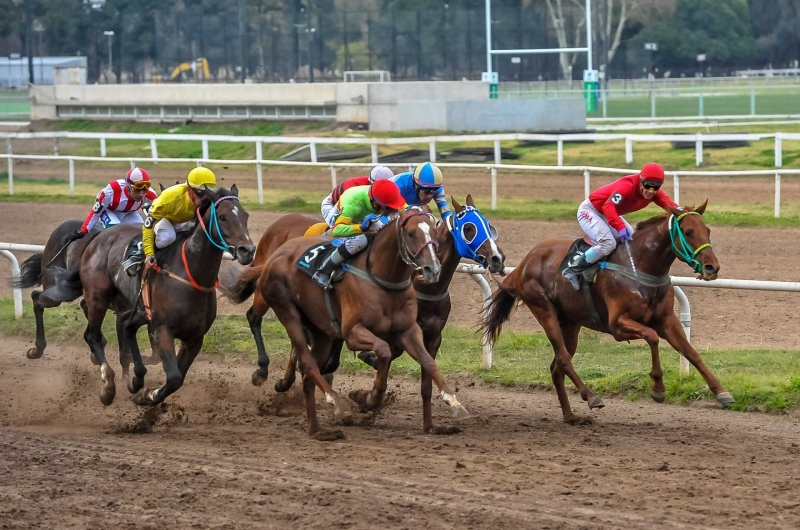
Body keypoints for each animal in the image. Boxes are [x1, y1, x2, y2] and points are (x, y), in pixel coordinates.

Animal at [42, 187, 255, 408]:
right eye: (222, 217)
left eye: (245, 215)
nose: (247, 250)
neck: (190, 275)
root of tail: (98, 237)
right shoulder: (162, 330)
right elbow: (174, 377)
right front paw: (148, 395)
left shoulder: (195, 338)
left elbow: (177, 379)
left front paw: (144, 393)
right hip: (97, 297)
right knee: (93, 335)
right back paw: (108, 385)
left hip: (133, 306)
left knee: (125, 325)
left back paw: (134, 378)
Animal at [220, 196, 506, 432]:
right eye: (469, 228)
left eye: (489, 225)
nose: (497, 259)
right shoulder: (361, 333)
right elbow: (383, 356)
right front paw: (365, 397)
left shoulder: (428, 336)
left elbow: (426, 371)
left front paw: (436, 420)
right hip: (273, 297)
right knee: (258, 320)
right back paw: (270, 375)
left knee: (307, 353)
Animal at [478, 200, 736, 422]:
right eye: (689, 232)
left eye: (708, 231)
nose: (712, 267)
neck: (641, 265)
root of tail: (525, 261)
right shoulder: (618, 325)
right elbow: (652, 337)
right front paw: (658, 388)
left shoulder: (667, 320)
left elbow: (691, 352)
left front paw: (721, 392)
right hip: (544, 310)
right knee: (563, 359)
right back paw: (591, 397)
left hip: (570, 323)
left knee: (556, 366)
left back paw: (570, 416)